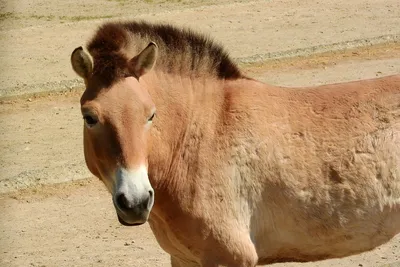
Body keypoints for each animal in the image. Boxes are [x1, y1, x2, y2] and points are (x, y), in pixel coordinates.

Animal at [69, 21, 400, 267]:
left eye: (151, 114)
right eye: (89, 117)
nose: (135, 203)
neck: (198, 138)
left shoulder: (227, 258)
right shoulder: (183, 259)